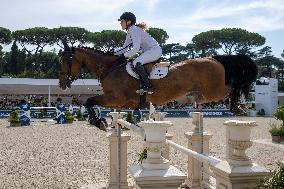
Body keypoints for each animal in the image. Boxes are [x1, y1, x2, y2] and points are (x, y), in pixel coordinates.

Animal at [58, 44, 258, 113]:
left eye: (67, 61)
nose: (61, 84)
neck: (110, 69)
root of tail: (213, 58)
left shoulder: (116, 99)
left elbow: (89, 101)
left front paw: (97, 122)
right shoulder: (117, 102)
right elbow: (89, 102)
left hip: (215, 91)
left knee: (233, 87)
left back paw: (240, 105)